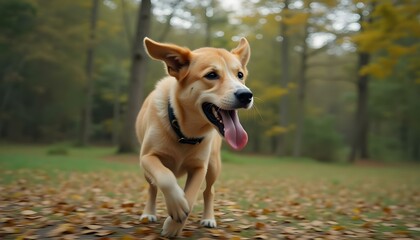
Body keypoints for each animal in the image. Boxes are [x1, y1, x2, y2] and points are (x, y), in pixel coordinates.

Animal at [136, 36, 253, 237]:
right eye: (212, 75)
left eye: (240, 74)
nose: (246, 94)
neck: (185, 133)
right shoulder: (147, 157)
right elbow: (166, 178)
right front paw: (176, 206)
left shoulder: (200, 167)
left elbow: (190, 196)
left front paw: (174, 225)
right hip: (147, 171)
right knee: (152, 187)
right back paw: (148, 213)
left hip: (214, 165)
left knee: (209, 192)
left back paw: (208, 218)